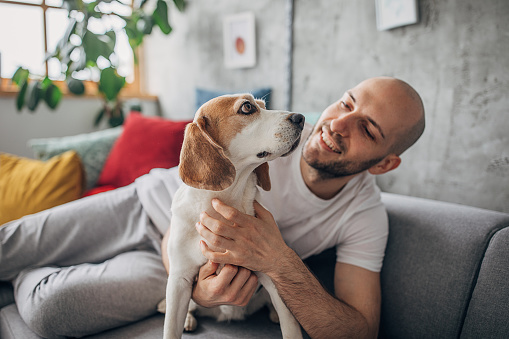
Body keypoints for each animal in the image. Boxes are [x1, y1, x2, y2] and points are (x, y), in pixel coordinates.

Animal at [163, 93, 304, 339]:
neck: (226, 202)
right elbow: (171, 328)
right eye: (247, 107)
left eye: (264, 106)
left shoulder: (274, 278)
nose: (301, 118)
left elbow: (291, 327)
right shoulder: (179, 280)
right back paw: (189, 318)